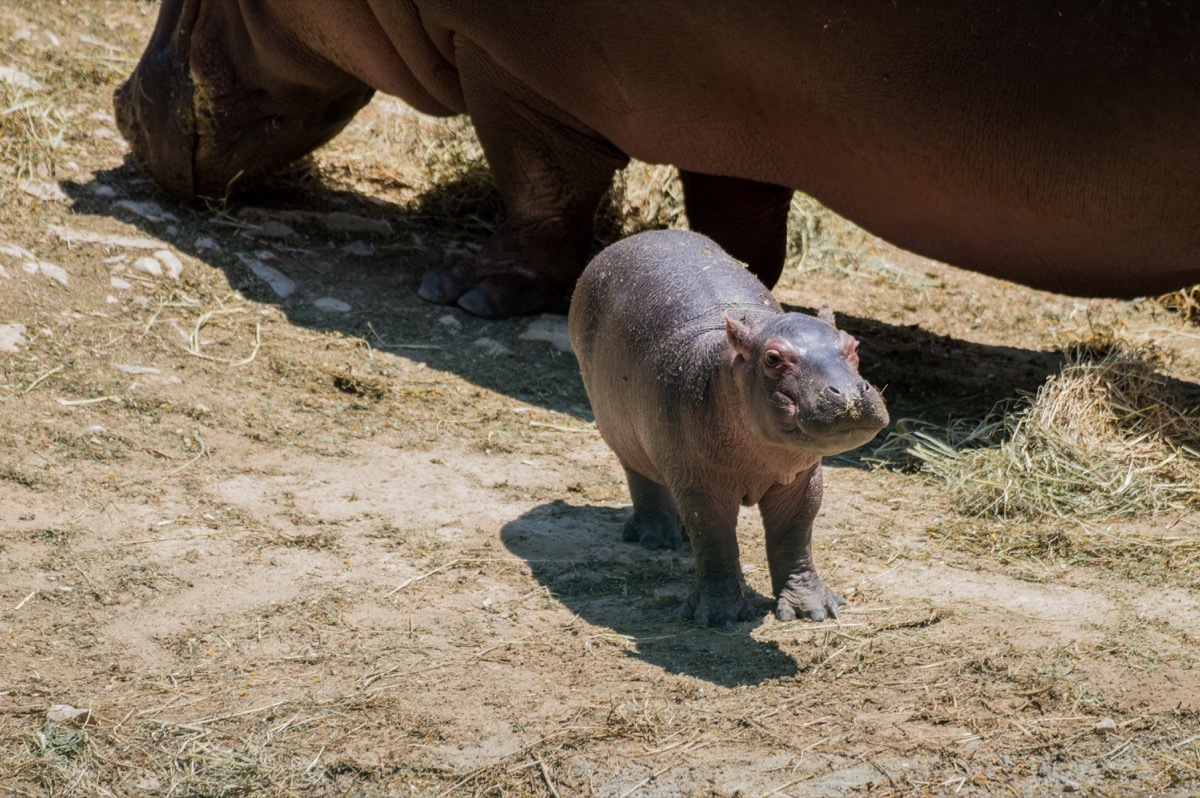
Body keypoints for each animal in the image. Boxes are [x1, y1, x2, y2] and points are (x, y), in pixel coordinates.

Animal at [115, 3, 1200, 318]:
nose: (120, 107)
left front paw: (467, 288)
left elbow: (541, 188)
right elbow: (742, 222)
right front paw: (725, 290)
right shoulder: (741, 107)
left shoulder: (510, 66)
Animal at [568, 230, 889, 626]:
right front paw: (718, 616)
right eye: (772, 358)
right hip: (620, 431)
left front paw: (814, 609)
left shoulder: (802, 478)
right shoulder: (701, 484)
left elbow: (795, 534)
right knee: (641, 478)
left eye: (852, 344)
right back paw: (657, 537)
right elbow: (715, 540)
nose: (849, 394)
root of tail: (635, 238)